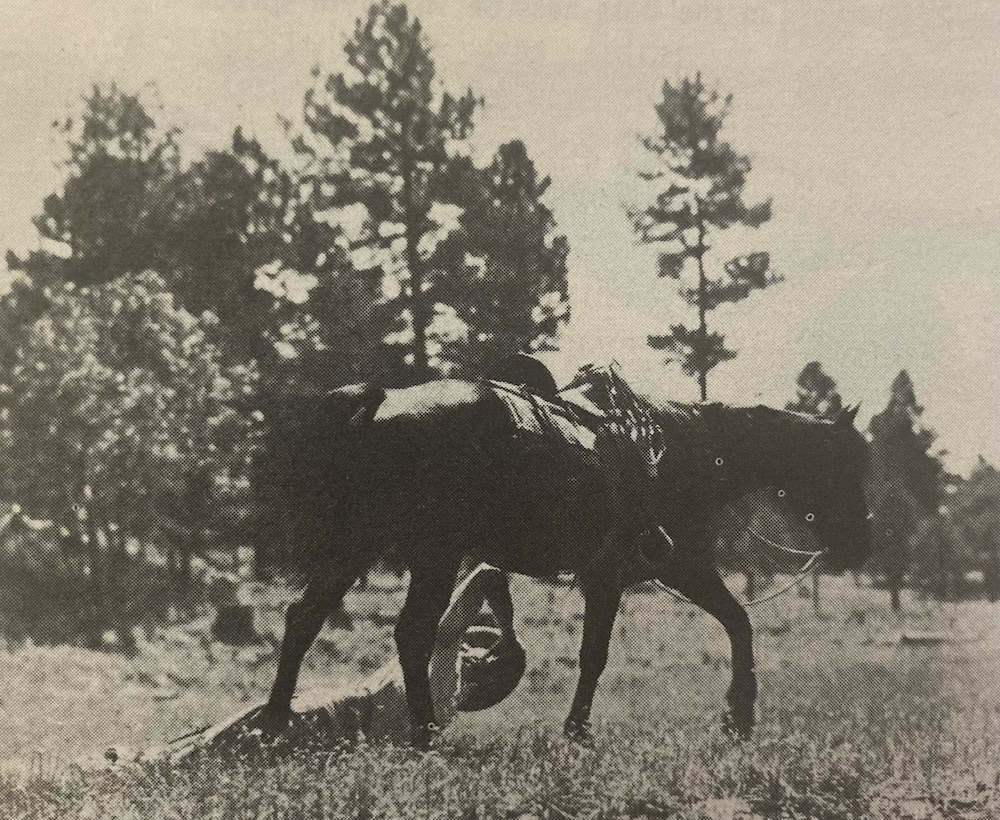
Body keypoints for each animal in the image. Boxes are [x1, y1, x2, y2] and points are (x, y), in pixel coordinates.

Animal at [255, 375, 871, 747]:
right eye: (848, 462)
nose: (861, 542)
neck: (680, 453)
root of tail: (380, 402)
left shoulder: (648, 573)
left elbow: (730, 622)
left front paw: (735, 717)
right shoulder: (647, 571)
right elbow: (604, 653)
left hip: (355, 546)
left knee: (305, 618)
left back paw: (275, 724)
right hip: (431, 554)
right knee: (410, 632)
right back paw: (426, 733)